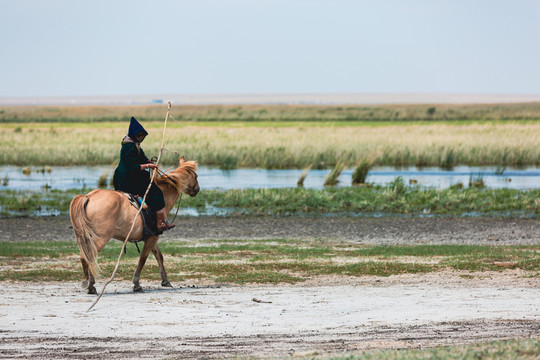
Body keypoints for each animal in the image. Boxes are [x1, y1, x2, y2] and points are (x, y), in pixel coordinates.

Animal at [69, 156, 199, 294]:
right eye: (195, 176)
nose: (197, 189)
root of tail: (88, 196)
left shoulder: (152, 236)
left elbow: (159, 256)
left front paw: (165, 280)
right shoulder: (153, 237)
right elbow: (143, 259)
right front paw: (137, 284)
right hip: (101, 238)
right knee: (86, 257)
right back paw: (90, 285)